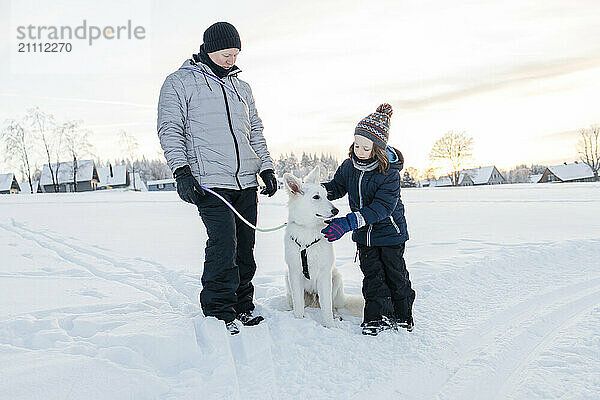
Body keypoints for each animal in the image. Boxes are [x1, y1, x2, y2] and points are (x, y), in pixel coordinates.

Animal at [284, 167, 364, 326]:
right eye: (316, 197)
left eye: (326, 196)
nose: (336, 211)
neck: (308, 229)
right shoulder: (294, 273)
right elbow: (298, 305)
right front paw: (298, 321)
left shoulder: (324, 275)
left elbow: (326, 306)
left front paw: (330, 326)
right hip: (287, 277)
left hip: (336, 278)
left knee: (331, 306)